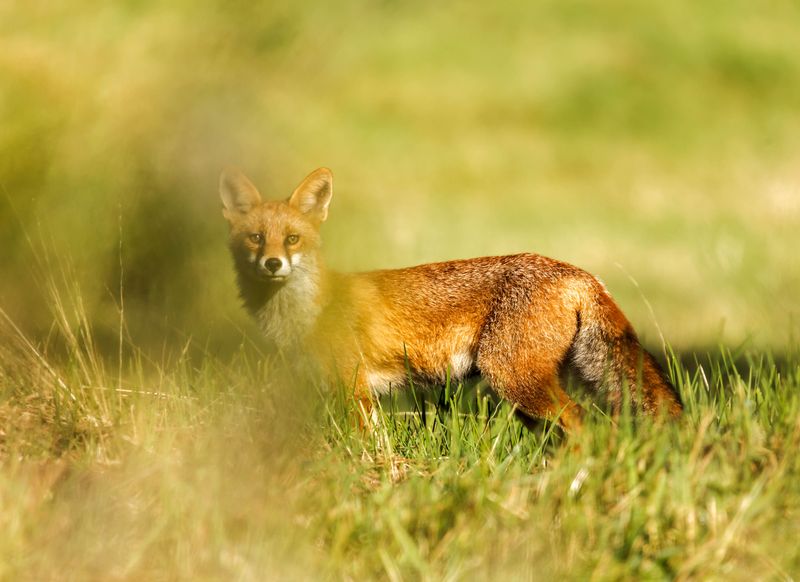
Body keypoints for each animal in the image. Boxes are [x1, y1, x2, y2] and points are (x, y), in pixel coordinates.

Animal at [219, 167, 683, 432]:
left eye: (292, 239)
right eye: (256, 238)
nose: (273, 264)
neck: (308, 312)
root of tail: (578, 271)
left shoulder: (354, 388)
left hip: (512, 378)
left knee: (582, 424)